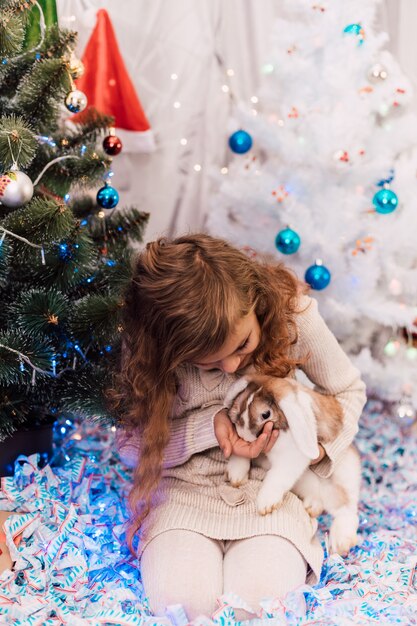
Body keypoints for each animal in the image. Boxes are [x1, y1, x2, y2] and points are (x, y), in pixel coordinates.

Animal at [223, 372, 360, 552]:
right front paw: (236, 476)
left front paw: (266, 504)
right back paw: (312, 508)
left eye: (265, 414)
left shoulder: (291, 459)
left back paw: (341, 544)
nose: (244, 435)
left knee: (347, 511)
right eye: (242, 404)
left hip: (343, 480)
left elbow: (276, 477)